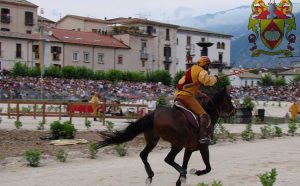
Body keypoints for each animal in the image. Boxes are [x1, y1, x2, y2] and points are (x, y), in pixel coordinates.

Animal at [97, 88, 236, 185]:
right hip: (178, 143)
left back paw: (150, 175)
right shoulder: (203, 147)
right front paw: (193, 172)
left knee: (144, 155)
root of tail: (153, 114)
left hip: (153, 140)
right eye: (229, 99)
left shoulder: (189, 149)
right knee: (168, 159)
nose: (234, 111)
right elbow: (208, 168)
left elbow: (185, 163)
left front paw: (180, 180)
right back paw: (180, 172)